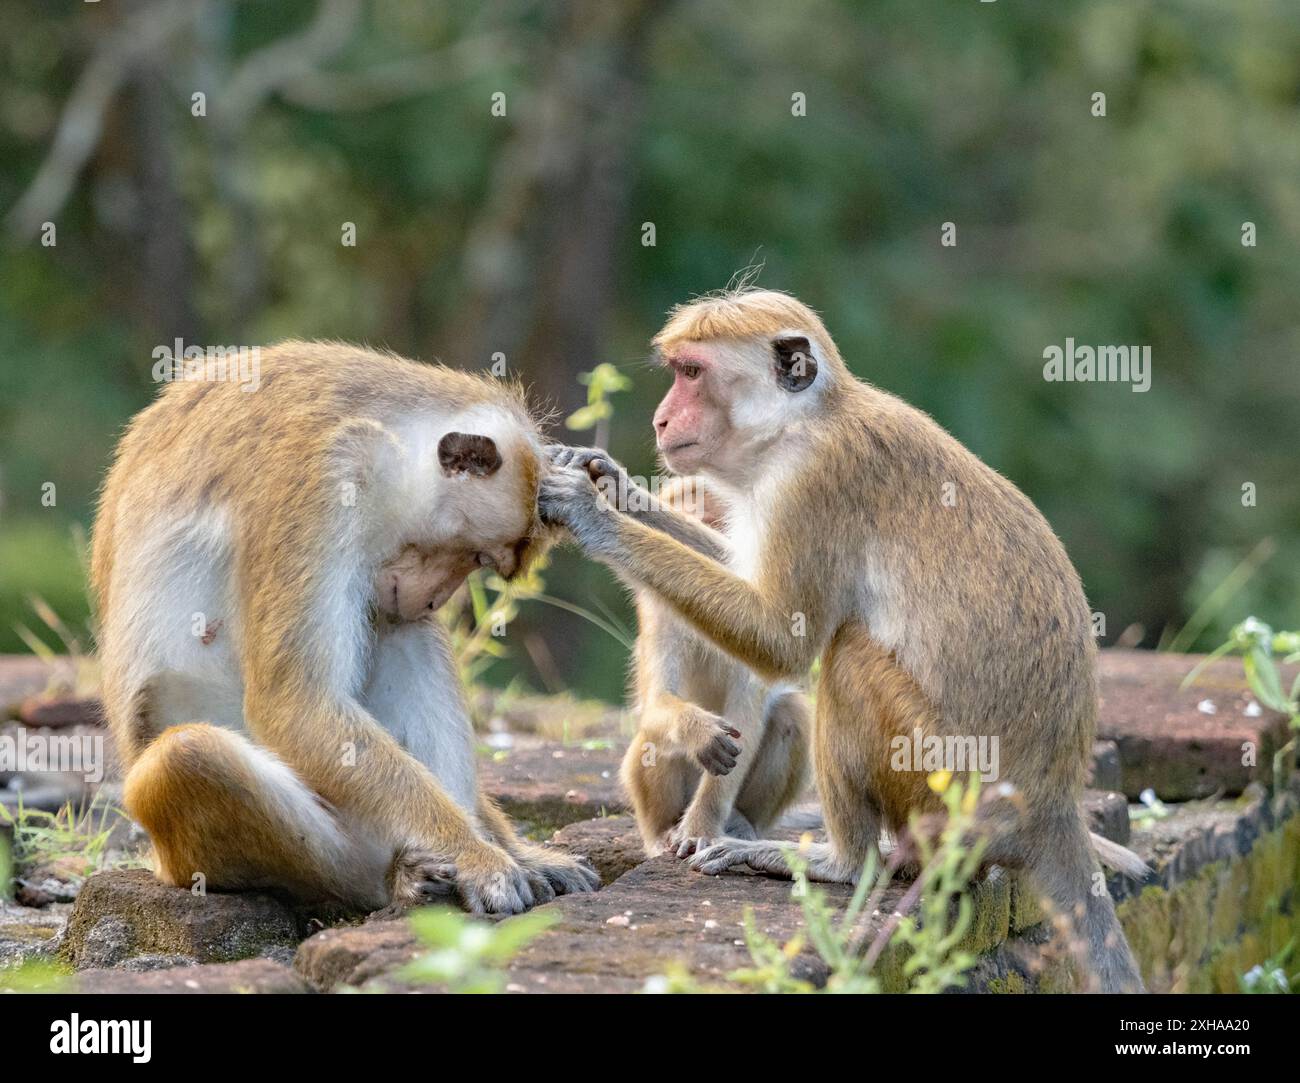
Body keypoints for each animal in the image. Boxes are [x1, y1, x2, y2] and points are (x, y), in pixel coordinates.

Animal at [92, 341, 599, 915]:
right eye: (478, 555)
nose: (433, 598)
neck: (386, 434)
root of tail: (161, 862)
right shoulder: (320, 479)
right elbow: (292, 703)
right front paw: (476, 856)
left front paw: (513, 851)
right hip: (316, 849)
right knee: (189, 758)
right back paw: (402, 878)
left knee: (402, 631)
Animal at [539, 288, 1147, 992]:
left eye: (692, 372)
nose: (663, 420)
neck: (798, 424)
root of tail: (1051, 806)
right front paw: (610, 481)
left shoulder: (810, 483)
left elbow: (783, 641)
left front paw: (591, 513)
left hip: (944, 780)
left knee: (848, 657)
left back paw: (839, 863)